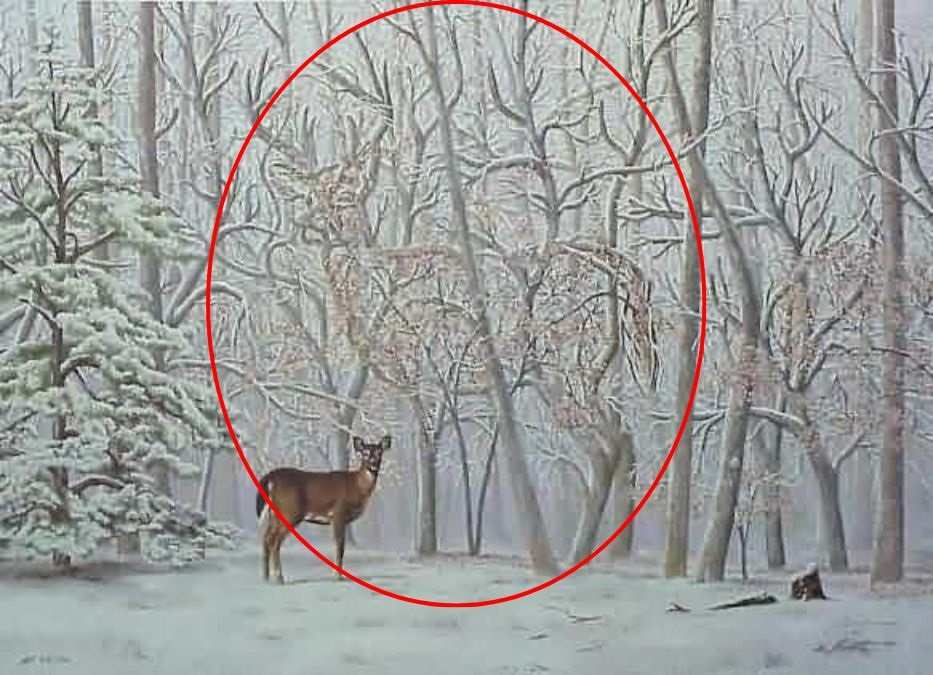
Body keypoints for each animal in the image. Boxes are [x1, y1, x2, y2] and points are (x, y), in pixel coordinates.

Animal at [256, 435, 390, 585]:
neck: (357, 487)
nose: (373, 465)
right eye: (365, 453)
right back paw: (279, 578)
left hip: (274, 514)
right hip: (290, 511)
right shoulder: (338, 512)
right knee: (274, 541)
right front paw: (338, 576)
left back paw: (266, 577)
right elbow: (340, 546)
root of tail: (271, 478)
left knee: (266, 538)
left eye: (379, 452)